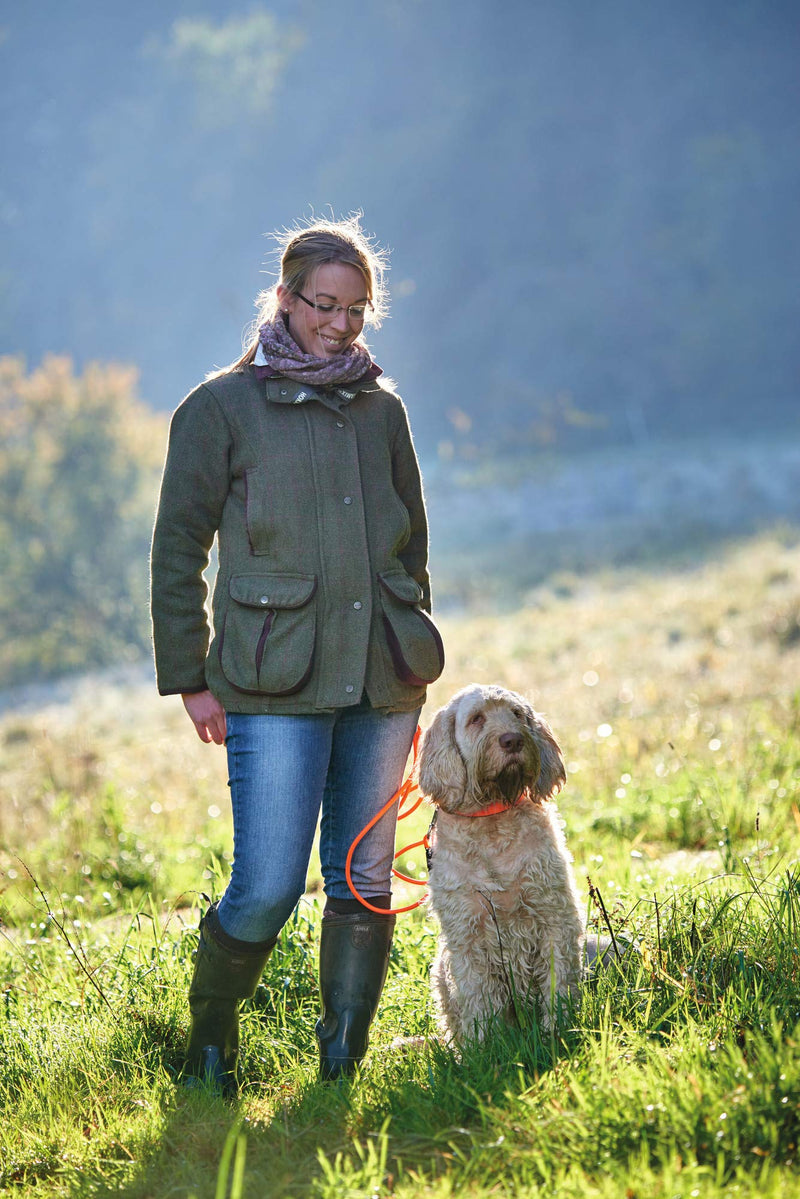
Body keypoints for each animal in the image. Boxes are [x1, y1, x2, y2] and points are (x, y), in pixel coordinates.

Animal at [422, 685, 585, 1040]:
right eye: (476, 719)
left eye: (517, 714)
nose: (513, 740)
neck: (493, 820)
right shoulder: (467, 934)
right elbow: (479, 998)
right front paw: (487, 1047)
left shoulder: (555, 916)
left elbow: (558, 983)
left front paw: (556, 1030)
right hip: (441, 968)